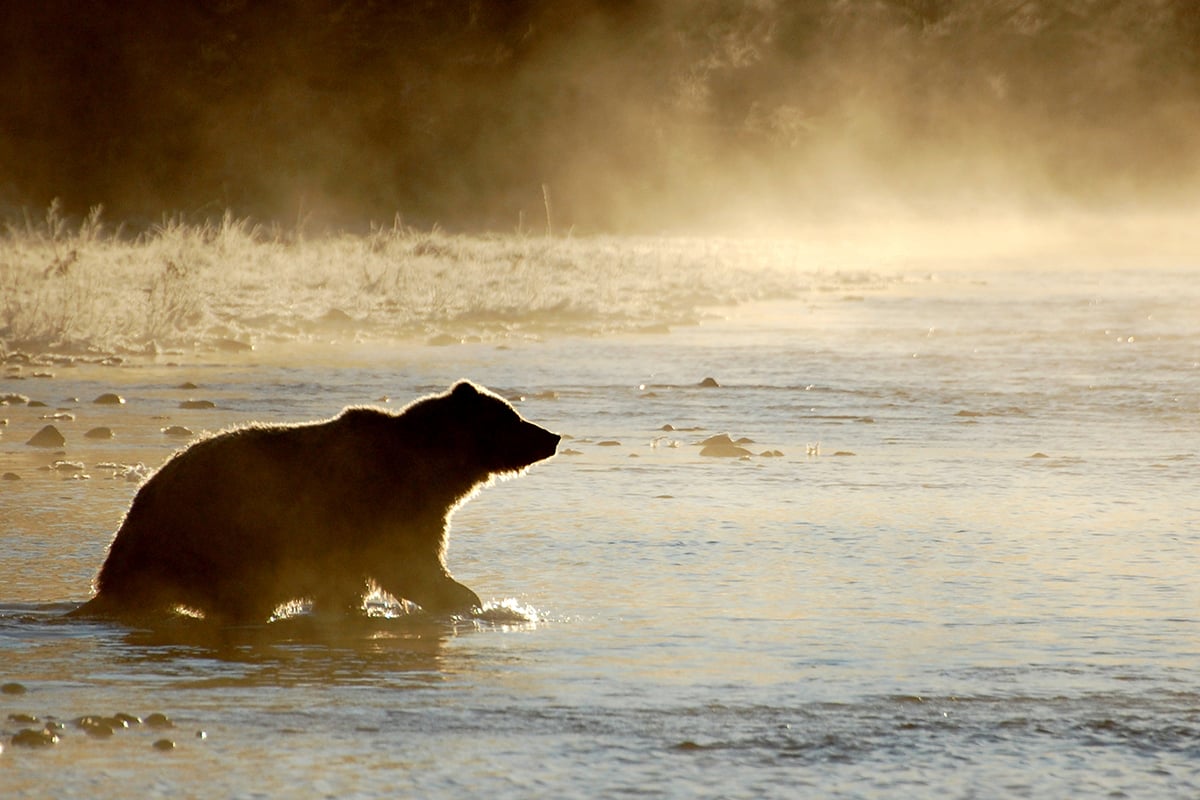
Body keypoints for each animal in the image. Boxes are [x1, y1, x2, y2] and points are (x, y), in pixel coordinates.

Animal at [72, 381, 559, 623]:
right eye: (513, 416)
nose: (551, 435)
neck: (432, 469)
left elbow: (352, 585)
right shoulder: (385, 505)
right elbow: (407, 566)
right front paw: (466, 599)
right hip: (219, 537)